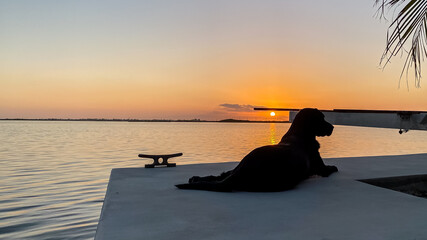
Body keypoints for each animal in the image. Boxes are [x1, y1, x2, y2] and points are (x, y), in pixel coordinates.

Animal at [175, 108, 338, 191]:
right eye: (322, 118)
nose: (332, 127)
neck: (300, 134)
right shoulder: (321, 168)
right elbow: (330, 168)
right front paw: (333, 167)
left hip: (237, 167)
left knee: (221, 175)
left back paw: (196, 178)